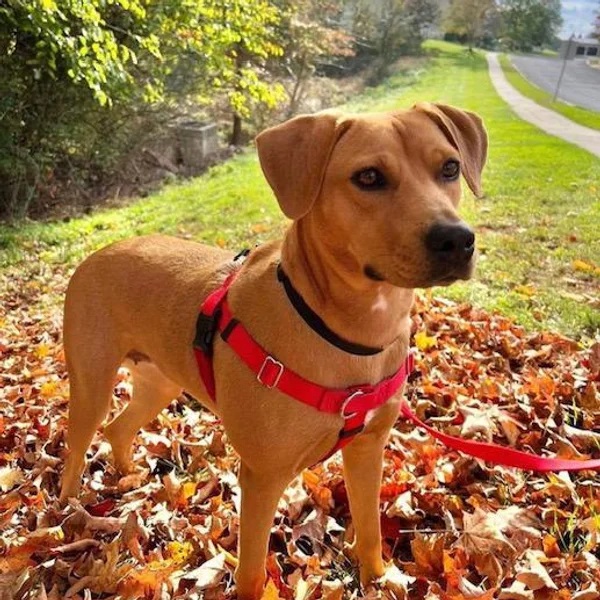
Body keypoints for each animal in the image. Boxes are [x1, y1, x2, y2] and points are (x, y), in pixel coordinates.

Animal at [58, 103, 486, 596]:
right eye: (369, 177)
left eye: (449, 167)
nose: (456, 239)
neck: (349, 332)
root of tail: (96, 254)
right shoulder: (262, 479)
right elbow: (250, 570)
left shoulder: (368, 449)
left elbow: (370, 529)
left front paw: (377, 579)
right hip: (92, 383)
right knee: (77, 447)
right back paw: (67, 512)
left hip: (158, 384)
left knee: (117, 429)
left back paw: (126, 475)